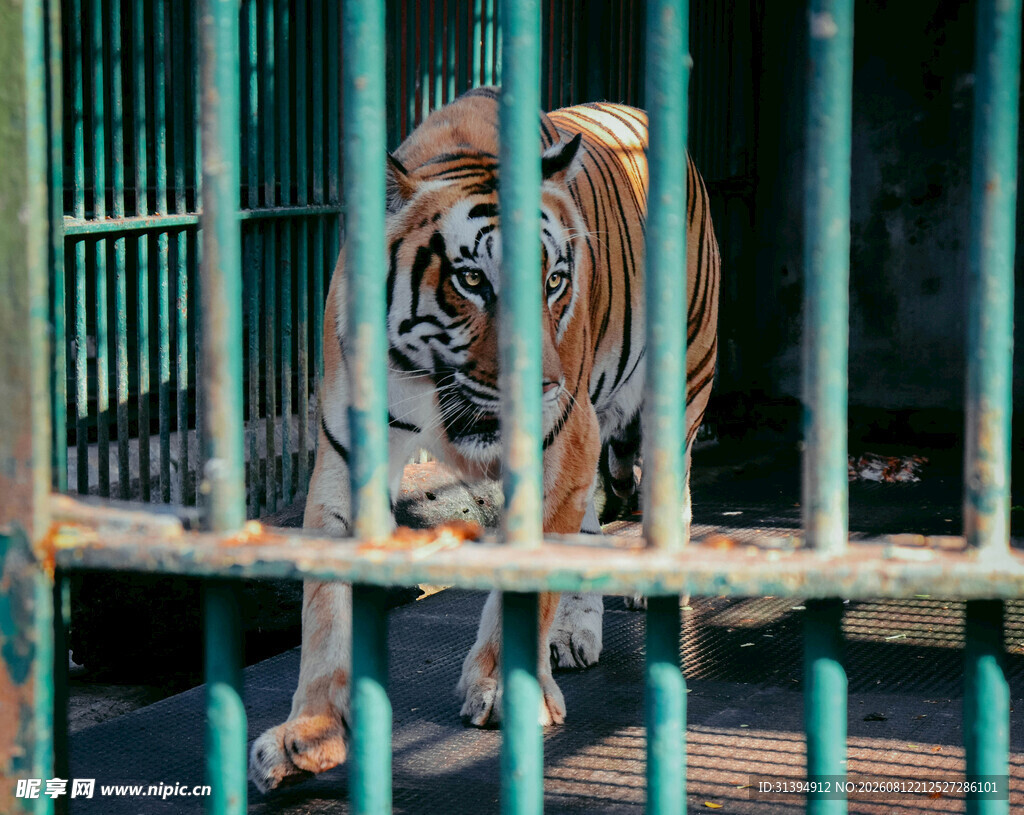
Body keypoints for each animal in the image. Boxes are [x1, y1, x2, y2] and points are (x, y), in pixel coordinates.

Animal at [249, 86, 720, 792]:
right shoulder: (346, 454)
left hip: (680, 382)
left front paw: (505, 690)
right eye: (472, 281)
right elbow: (325, 606)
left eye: (554, 282)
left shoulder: (563, 441)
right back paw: (573, 634)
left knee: (673, 486)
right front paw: (309, 732)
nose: (545, 385)